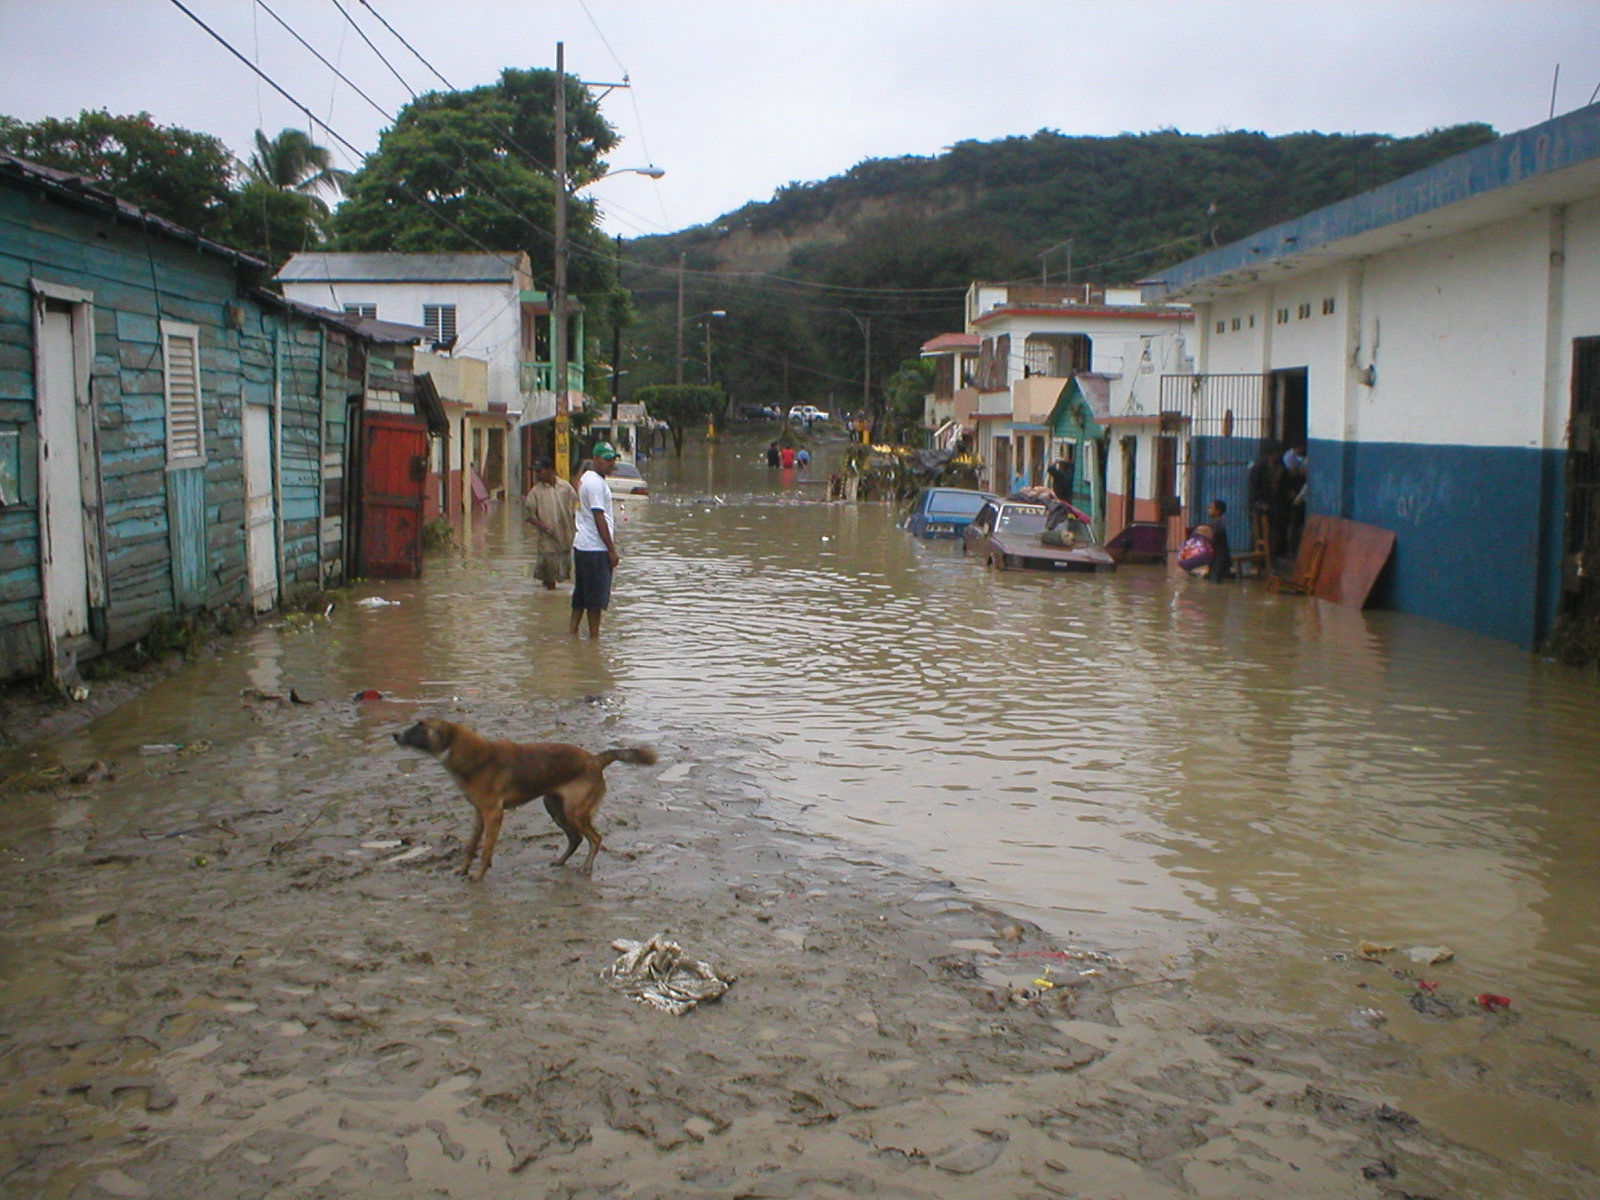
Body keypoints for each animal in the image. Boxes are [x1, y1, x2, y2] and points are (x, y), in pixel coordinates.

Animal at [393, 720, 656, 876]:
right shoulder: (479, 814)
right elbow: (471, 846)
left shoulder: (493, 815)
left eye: (419, 727)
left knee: (595, 838)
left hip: (575, 813)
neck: (475, 758)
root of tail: (595, 759)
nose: (394, 734)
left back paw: (586, 867)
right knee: (575, 839)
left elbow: (486, 850)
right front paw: (463, 870)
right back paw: (560, 861)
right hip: (555, 808)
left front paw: (478, 876)